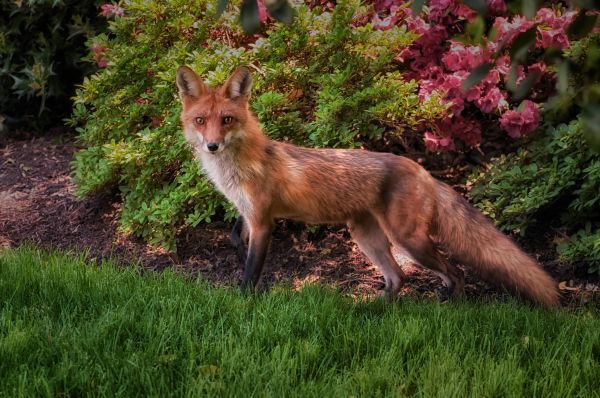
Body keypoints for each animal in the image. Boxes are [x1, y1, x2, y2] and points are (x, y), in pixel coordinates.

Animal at [176, 64, 560, 308]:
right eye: (201, 120)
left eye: (227, 120)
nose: (212, 145)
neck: (239, 167)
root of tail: (422, 170)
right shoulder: (247, 214)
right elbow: (234, 238)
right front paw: (236, 252)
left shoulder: (263, 221)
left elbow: (251, 271)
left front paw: (243, 302)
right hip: (368, 237)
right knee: (399, 278)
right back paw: (370, 308)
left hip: (409, 241)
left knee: (455, 271)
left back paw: (449, 307)